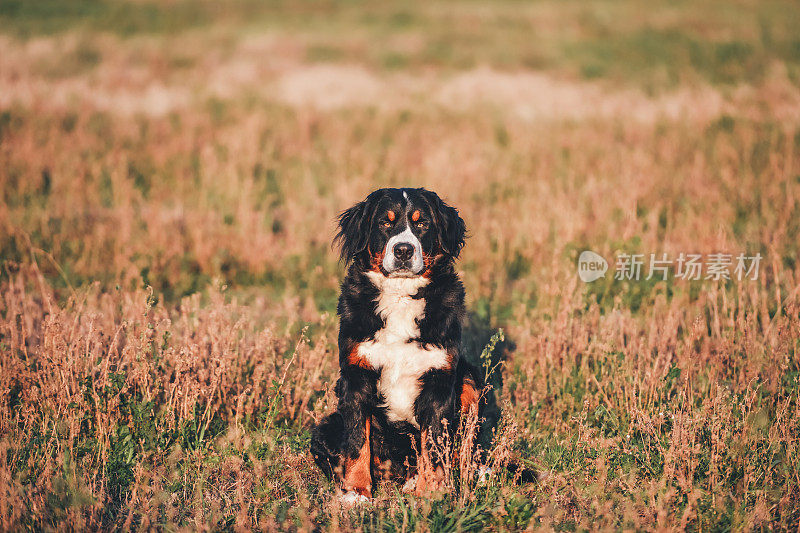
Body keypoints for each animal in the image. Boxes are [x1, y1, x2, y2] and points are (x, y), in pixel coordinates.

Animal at [310, 188, 484, 502]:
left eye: (422, 223)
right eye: (385, 223)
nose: (403, 250)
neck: (401, 297)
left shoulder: (439, 378)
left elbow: (434, 445)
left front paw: (431, 492)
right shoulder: (356, 376)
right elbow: (357, 441)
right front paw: (356, 493)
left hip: (469, 379)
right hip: (326, 428)